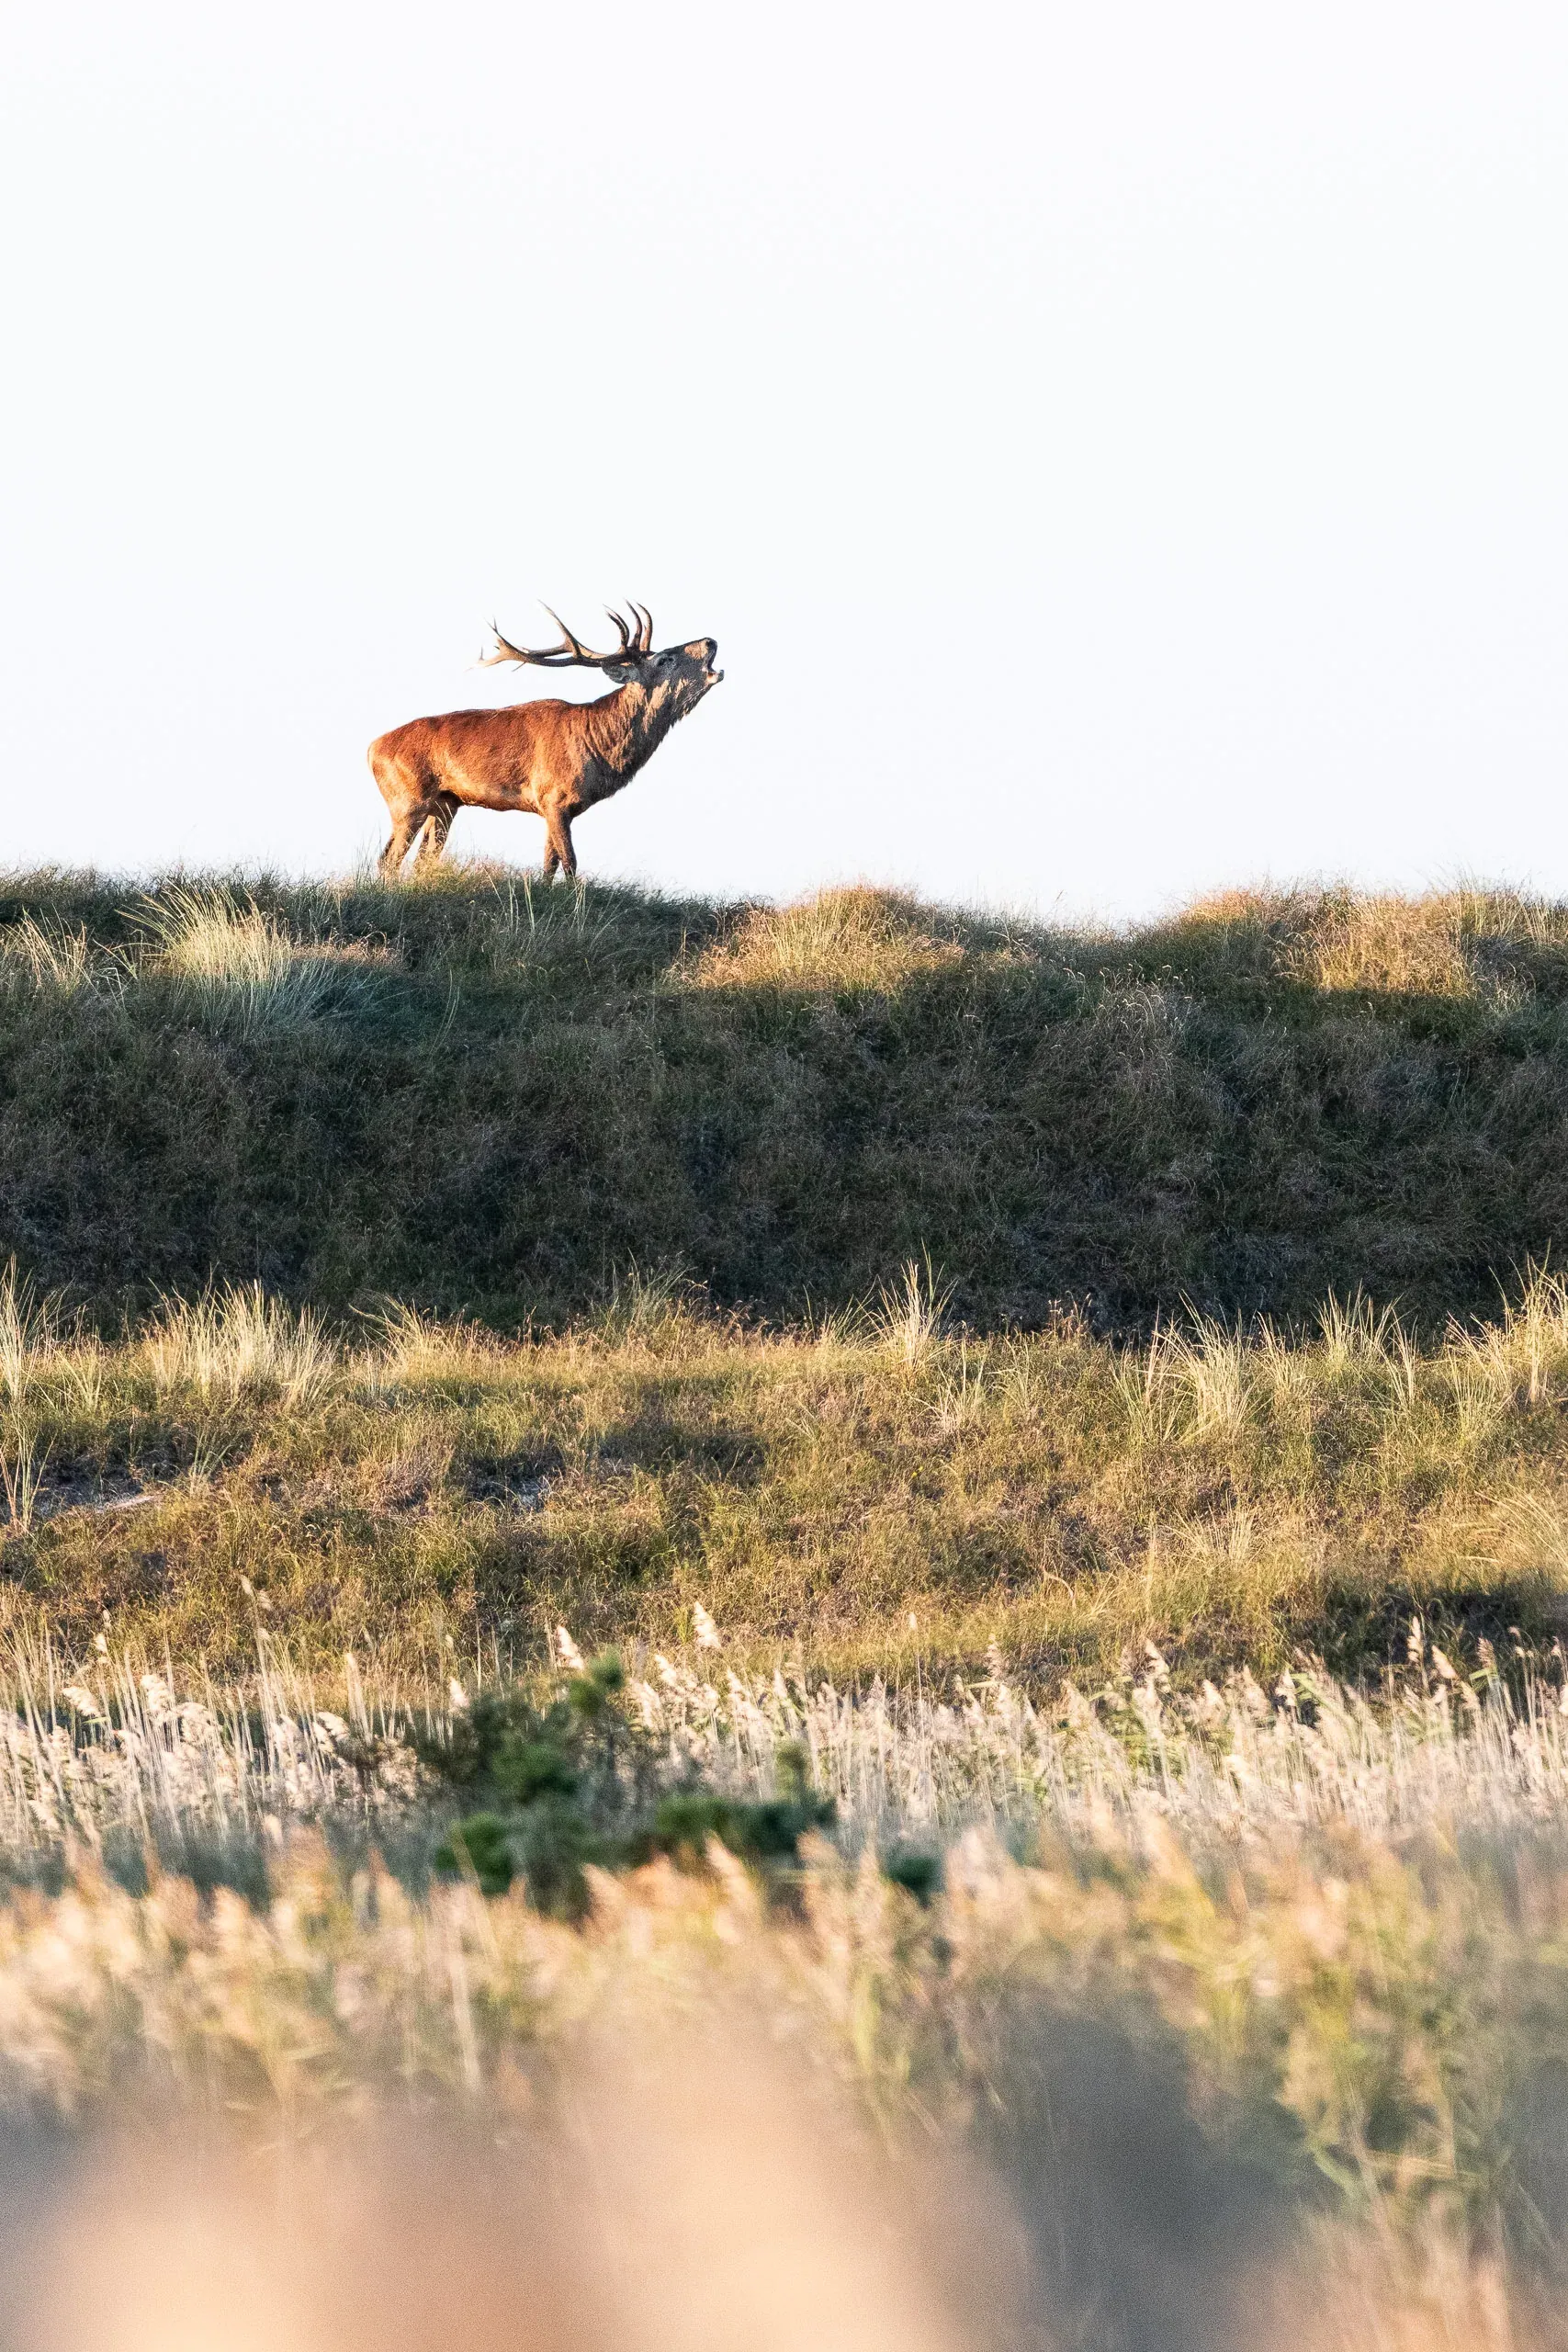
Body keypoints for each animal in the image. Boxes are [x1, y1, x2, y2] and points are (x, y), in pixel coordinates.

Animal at [369, 603, 723, 879]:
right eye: (664, 659)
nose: (711, 640)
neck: (600, 747)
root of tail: (371, 749)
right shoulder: (554, 796)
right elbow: (570, 862)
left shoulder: (555, 806)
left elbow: (549, 864)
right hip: (407, 799)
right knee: (389, 858)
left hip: (445, 803)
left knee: (422, 860)